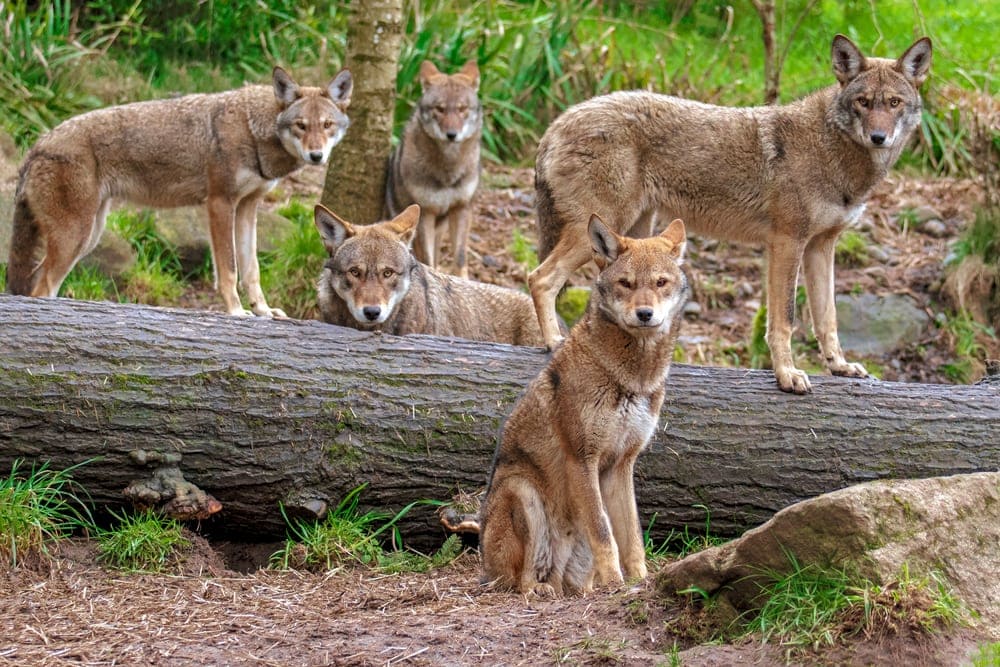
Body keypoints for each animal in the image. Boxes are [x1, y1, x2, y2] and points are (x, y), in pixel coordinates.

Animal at [7, 67, 353, 318]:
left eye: (327, 125)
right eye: (300, 125)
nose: (316, 156)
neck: (252, 128)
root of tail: (37, 145)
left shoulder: (248, 207)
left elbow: (251, 269)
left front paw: (263, 311)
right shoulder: (220, 203)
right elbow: (229, 269)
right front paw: (236, 312)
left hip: (89, 236)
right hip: (76, 237)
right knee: (41, 288)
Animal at [384, 59, 482, 279]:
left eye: (462, 109)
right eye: (440, 109)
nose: (451, 134)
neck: (448, 169)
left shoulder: (462, 208)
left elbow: (460, 256)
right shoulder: (425, 213)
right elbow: (428, 261)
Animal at [480, 215, 689, 595]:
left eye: (660, 283)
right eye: (626, 283)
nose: (645, 313)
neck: (632, 380)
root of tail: (484, 568)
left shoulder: (621, 464)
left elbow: (631, 537)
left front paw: (640, 580)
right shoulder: (582, 459)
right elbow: (604, 532)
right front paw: (617, 582)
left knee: (569, 583)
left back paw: (582, 591)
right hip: (522, 491)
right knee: (521, 582)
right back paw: (539, 590)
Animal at [530, 34, 931, 393]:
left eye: (894, 102)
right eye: (863, 102)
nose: (879, 137)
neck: (833, 152)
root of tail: (556, 124)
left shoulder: (821, 245)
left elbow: (827, 317)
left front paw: (840, 366)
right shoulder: (787, 242)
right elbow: (785, 319)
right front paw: (787, 375)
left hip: (634, 235)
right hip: (601, 228)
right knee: (540, 278)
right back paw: (553, 341)